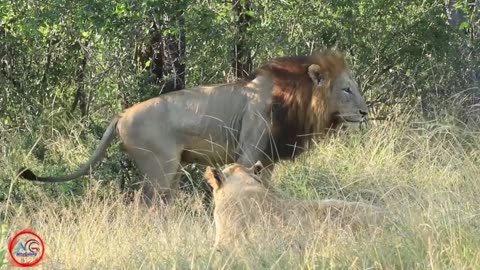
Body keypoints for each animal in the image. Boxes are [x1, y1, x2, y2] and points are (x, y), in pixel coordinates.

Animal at [17, 50, 368, 205]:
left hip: (169, 171)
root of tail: (121, 114)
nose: (366, 112)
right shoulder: (248, 152)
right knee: (148, 205)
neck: (296, 99)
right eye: (346, 89)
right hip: (160, 167)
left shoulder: (266, 160)